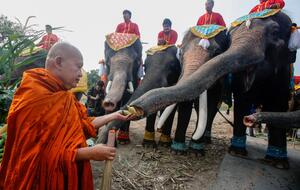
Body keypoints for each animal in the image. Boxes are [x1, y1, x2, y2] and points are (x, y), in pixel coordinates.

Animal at [129, 10, 296, 169]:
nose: (135, 108)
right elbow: (186, 105)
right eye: (181, 54)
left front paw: (195, 151)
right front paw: (177, 150)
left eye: (216, 53)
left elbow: (276, 104)